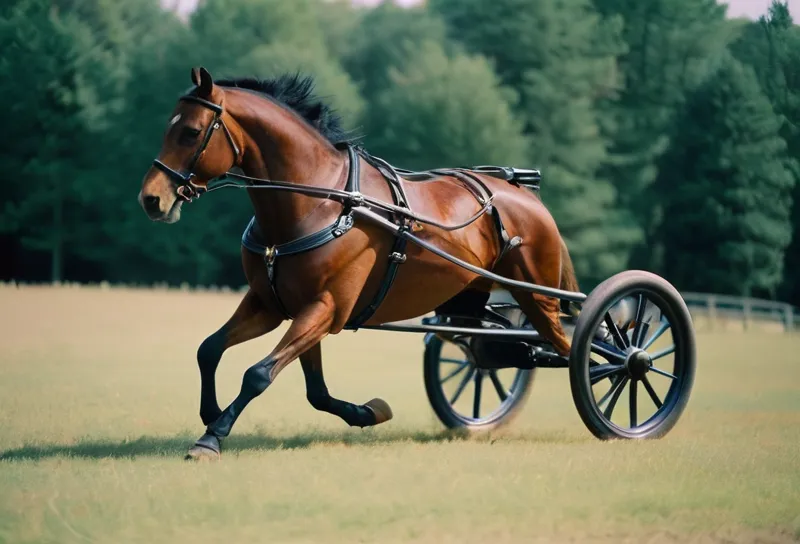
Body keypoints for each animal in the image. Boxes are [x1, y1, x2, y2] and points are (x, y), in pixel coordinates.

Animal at [138, 68, 576, 460]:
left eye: (192, 132)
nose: (151, 199)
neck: (319, 201)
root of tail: (524, 194)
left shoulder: (325, 308)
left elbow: (258, 374)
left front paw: (212, 437)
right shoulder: (275, 305)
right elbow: (217, 352)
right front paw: (368, 412)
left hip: (539, 297)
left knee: (573, 348)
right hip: (472, 301)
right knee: (494, 348)